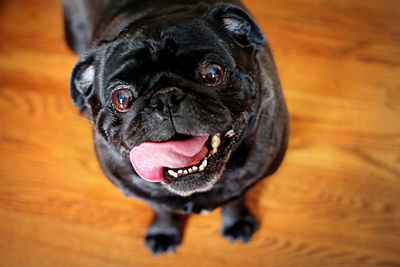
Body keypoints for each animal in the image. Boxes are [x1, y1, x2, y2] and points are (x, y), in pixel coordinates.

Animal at [61, 0, 288, 255]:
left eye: (213, 73)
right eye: (122, 99)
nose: (165, 98)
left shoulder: (249, 179)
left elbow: (235, 199)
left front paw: (236, 222)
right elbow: (163, 210)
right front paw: (164, 232)